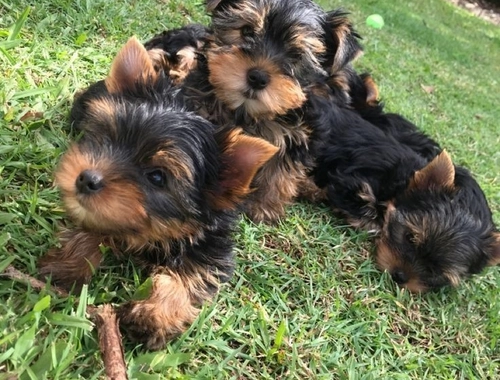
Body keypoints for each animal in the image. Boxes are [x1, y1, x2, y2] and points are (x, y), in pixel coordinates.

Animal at [38, 37, 278, 348]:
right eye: (106, 138)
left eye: (157, 177)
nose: (86, 179)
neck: (150, 234)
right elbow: (90, 228)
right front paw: (66, 266)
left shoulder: (210, 248)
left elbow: (188, 277)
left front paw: (154, 315)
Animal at [173, 0, 364, 223]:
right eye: (247, 31)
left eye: (297, 55)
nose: (257, 77)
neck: (248, 111)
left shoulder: (300, 133)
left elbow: (281, 171)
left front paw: (264, 207)